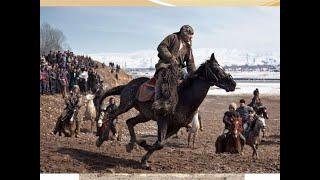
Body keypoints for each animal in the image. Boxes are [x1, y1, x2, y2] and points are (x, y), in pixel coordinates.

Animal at [95, 52, 238, 169]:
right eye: (216, 69)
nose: (233, 83)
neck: (184, 98)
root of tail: (128, 84)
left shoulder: (175, 126)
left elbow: (160, 143)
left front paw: (144, 159)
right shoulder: (162, 120)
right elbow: (159, 143)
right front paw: (143, 145)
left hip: (145, 115)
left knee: (129, 122)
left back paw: (131, 144)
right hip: (126, 104)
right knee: (112, 116)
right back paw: (101, 139)